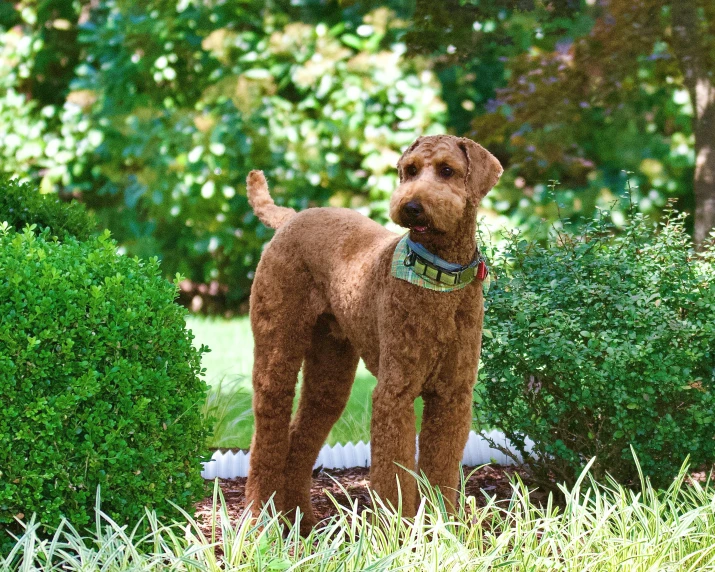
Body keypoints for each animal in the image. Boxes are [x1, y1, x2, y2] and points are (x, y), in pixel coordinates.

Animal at [246, 135, 504, 532]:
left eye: (447, 170)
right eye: (410, 170)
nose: (411, 207)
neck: (437, 279)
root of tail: (292, 217)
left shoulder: (452, 396)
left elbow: (441, 471)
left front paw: (442, 528)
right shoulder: (394, 393)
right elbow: (394, 474)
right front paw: (399, 533)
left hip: (330, 371)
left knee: (299, 441)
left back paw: (301, 522)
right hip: (277, 348)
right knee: (267, 436)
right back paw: (259, 518)